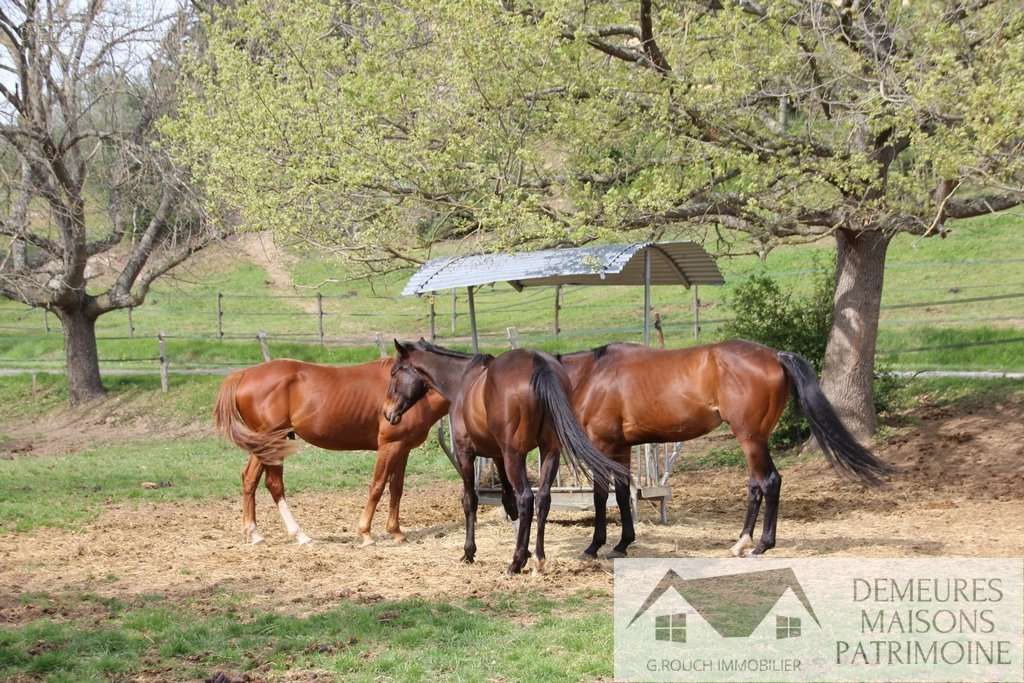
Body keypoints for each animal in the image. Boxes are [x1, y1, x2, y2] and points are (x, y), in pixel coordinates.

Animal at [214, 358, 446, 544]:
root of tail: (243, 374)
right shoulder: (390, 445)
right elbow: (378, 486)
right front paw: (366, 534)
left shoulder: (403, 448)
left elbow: (396, 488)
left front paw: (396, 532)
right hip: (272, 442)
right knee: (274, 484)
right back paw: (300, 535)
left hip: (264, 445)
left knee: (249, 479)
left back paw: (254, 534)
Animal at [380, 339, 626, 573]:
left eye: (394, 372)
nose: (387, 412)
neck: (461, 380)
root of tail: (538, 364)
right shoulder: (498, 456)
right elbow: (508, 501)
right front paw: (526, 551)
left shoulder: (465, 453)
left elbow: (470, 500)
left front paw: (469, 552)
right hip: (549, 452)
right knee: (542, 499)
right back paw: (538, 558)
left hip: (514, 456)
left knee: (526, 498)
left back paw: (515, 563)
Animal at [557, 342, 892, 561]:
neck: (591, 375)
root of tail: (775, 355)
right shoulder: (621, 447)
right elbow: (623, 492)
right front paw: (623, 544)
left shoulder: (602, 444)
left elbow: (601, 496)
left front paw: (593, 547)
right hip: (756, 440)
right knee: (756, 485)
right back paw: (741, 542)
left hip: (750, 438)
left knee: (769, 481)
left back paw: (761, 545)